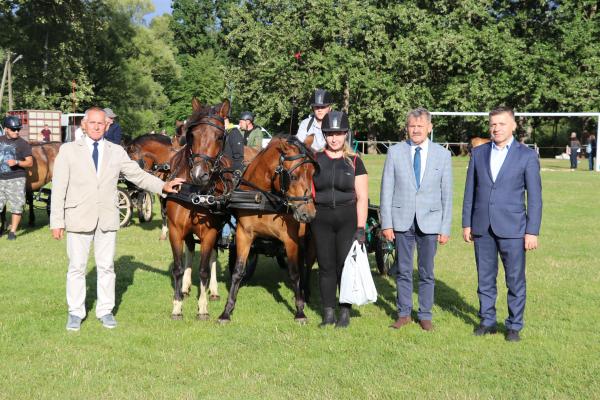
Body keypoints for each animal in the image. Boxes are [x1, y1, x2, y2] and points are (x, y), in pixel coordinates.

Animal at [217, 135, 318, 324]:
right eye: (293, 176)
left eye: (313, 174)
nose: (308, 214)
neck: (262, 199)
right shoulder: (243, 235)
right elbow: (237, 271)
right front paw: (226, 311)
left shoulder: (290, 239)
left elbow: (294, 273)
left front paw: (300, 311)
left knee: (306, 265)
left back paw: (306, 293)